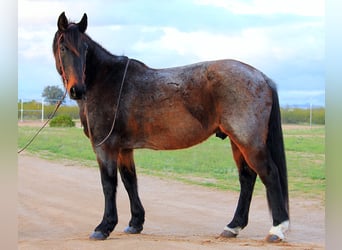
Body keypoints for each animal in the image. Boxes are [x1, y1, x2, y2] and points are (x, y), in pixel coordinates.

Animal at [52, 12, 288, 243]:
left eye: (85, 49)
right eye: (63, 48)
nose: (77, 90)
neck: (107, 81)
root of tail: (261, 77)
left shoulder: (105, 147)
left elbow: (108, 184)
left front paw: (104, 227)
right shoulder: (124, 148)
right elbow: (130, 181)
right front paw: (135, 223)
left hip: (248, 141)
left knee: (269, 173)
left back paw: (277, 229)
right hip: (236, 141)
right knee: (247, 177)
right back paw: (233, 226)